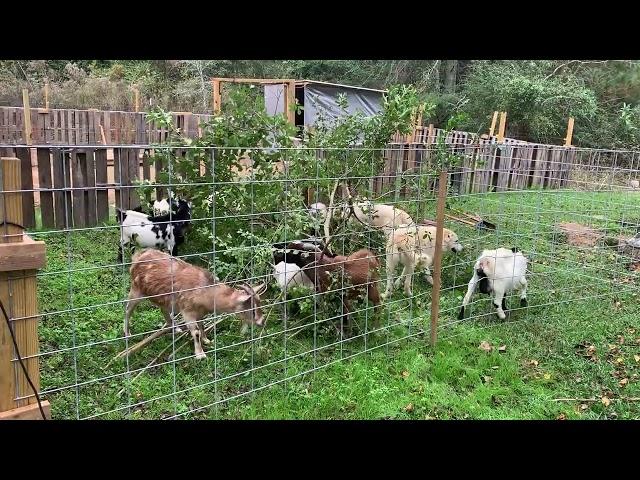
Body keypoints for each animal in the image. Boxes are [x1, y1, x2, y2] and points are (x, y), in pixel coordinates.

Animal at [126, 249, 266, 358]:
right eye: (252, 310)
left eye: (259, 305)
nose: (262, 322)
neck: (206, 290)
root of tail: (138, 256)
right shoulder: (187, 311)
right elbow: (196, 331)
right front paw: (200, 354)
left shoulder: (200, 312)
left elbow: (202, 326)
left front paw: (207, 340)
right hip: (136, 289)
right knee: (128, 308)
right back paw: (127, 333)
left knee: (163, 309)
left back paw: (176, 328)